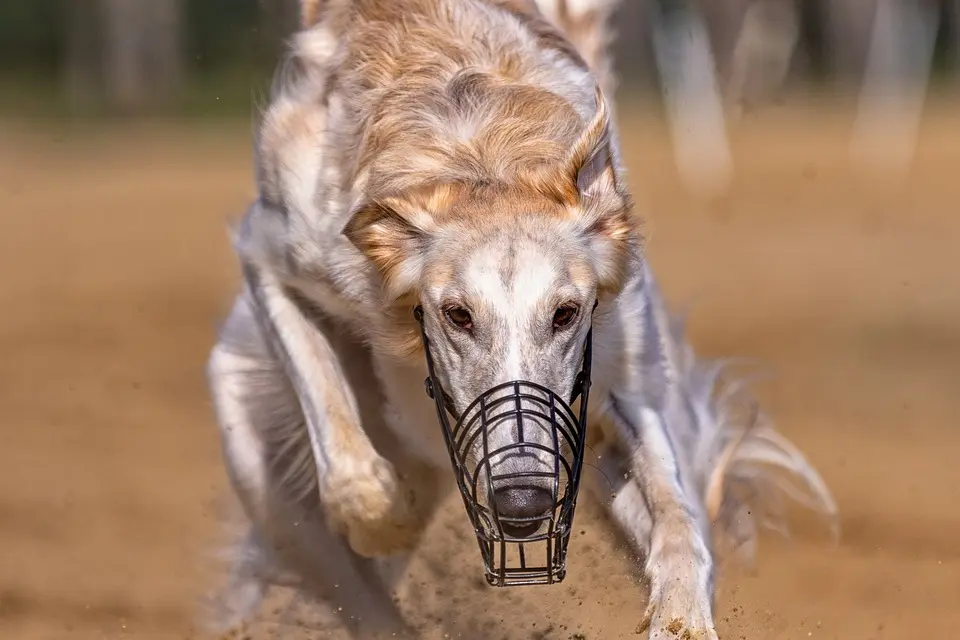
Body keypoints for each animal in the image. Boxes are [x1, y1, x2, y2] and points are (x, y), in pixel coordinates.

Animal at [206, 2, 836, 636]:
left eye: (566, 313)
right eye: (457, 315)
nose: (522, 507)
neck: (480, 154)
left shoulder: (618, 377)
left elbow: (677, 518)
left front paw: (681, 616)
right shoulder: (274, 251)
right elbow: (349, 467)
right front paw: (389, 511)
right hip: (263, 473)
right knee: (362, 596)